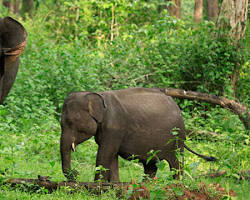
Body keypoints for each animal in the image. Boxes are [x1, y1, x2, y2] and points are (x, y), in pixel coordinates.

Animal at [59, 87, 215, 181]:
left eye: (72, 122)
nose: (76, 173)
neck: (97, 95)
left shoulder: (115, 127)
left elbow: (105, 153)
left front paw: (97, 187)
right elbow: (111, 156)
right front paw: (113, 186)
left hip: (176, 139)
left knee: (175, 164)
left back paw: (176, 184)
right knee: (151, 165)